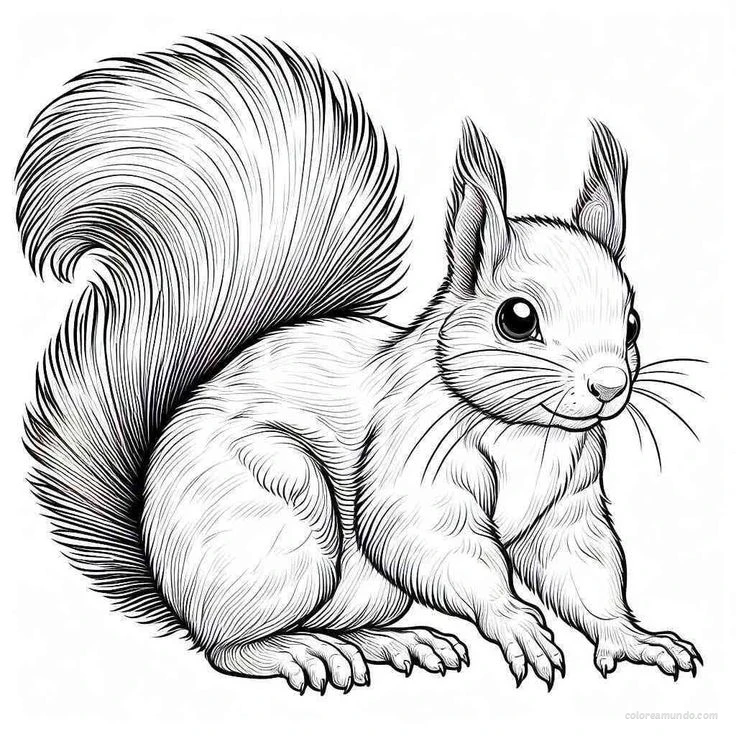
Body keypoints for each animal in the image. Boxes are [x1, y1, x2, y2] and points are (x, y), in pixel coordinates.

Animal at [17, 35, 701, 693]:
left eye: (633, 322)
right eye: (517, 318)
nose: (609, 385)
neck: (527, 434)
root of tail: (168, 578)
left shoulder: (570, 499)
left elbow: (582, 567)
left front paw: (635, 640)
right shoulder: (413, 459)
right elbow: (428, 539)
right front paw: (516, 624)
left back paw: (398, 642)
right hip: (279, 512)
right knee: (229, 648)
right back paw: (301, 652)